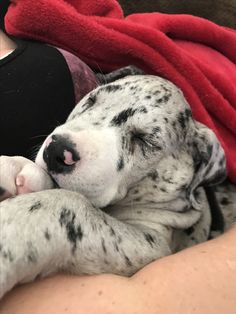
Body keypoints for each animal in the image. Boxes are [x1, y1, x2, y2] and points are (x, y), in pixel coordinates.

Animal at [0, 66, 227, 296]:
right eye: (91, 100)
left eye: (144, 140)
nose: (57, 150)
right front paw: (14, 169)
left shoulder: (151, 243)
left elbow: (72, 205)